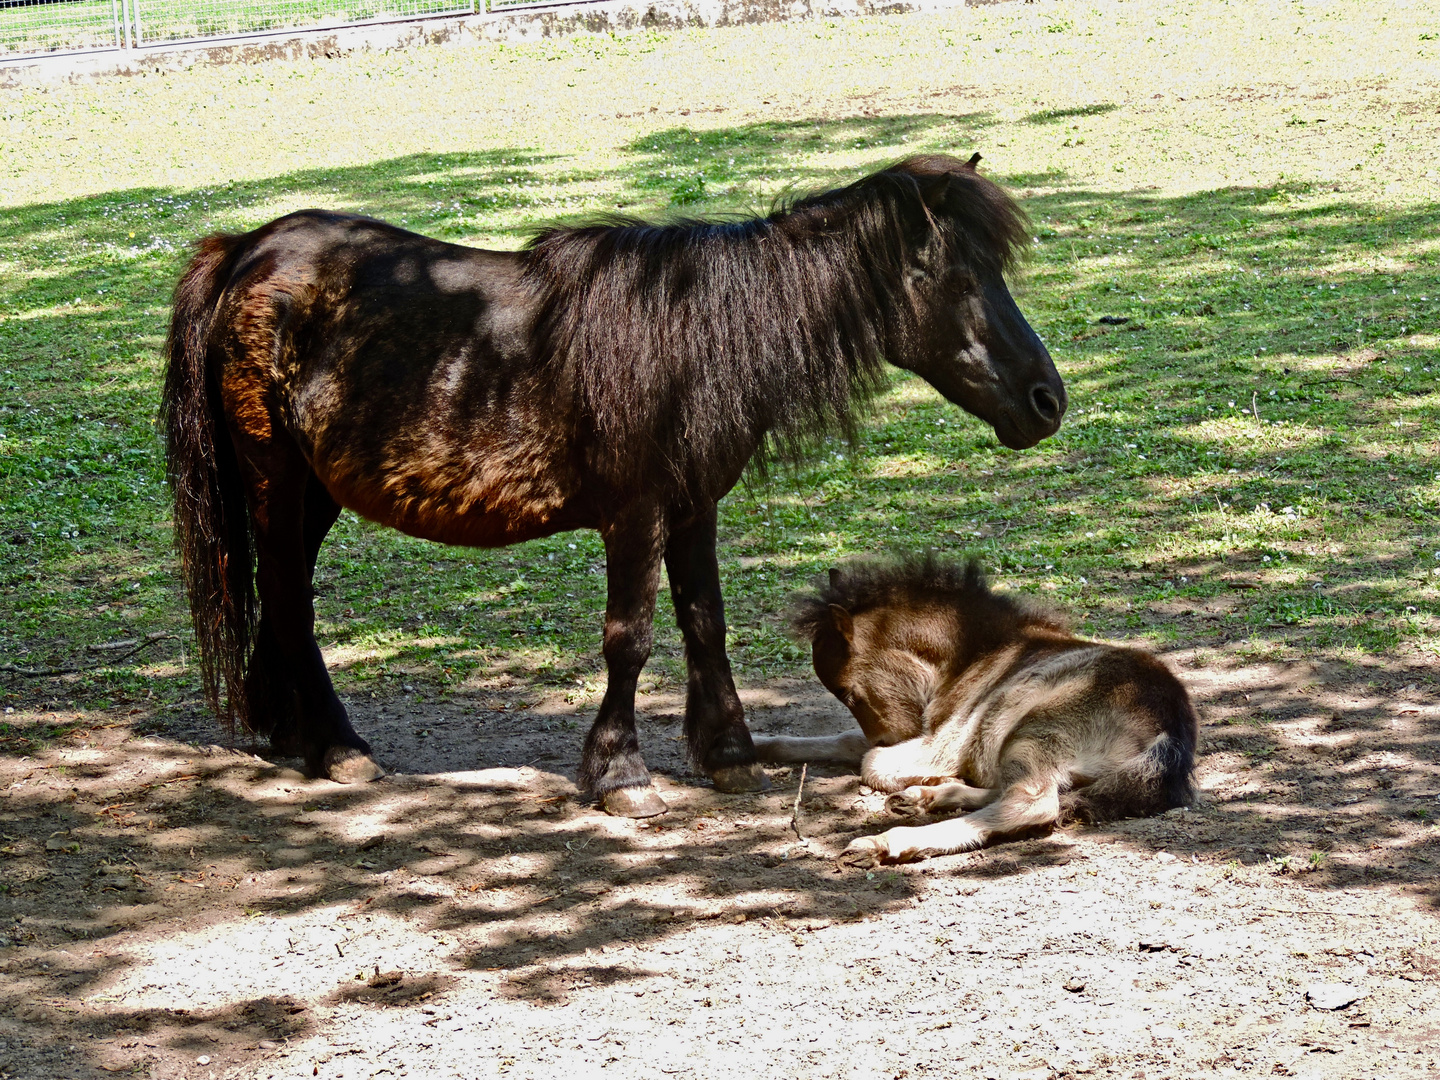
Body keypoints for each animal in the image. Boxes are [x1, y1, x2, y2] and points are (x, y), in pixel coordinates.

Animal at [163, 152, 1071, 817]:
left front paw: (729, 755)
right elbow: (629, 638)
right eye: (961, 280)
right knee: (287, 598)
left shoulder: (695, 506)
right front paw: (621, 774)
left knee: (279, 596)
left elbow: (706, 623)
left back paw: (286, 728)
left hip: (314, 492)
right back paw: (335, 747)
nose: (1046, 400)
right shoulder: (637, 515)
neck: (696, 337)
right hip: (277, 479)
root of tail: (247, 247)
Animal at [760, 561, 1198, 869]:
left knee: (1031, 802)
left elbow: (871, 761)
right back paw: (924, 797)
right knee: (1014, 789)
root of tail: (1171, 723)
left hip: (1034, 727)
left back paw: (885, 841)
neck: (972, 656)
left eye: (848, 693)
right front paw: (754, 747)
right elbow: (845, 743)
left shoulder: (940, 743)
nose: (887, 736)